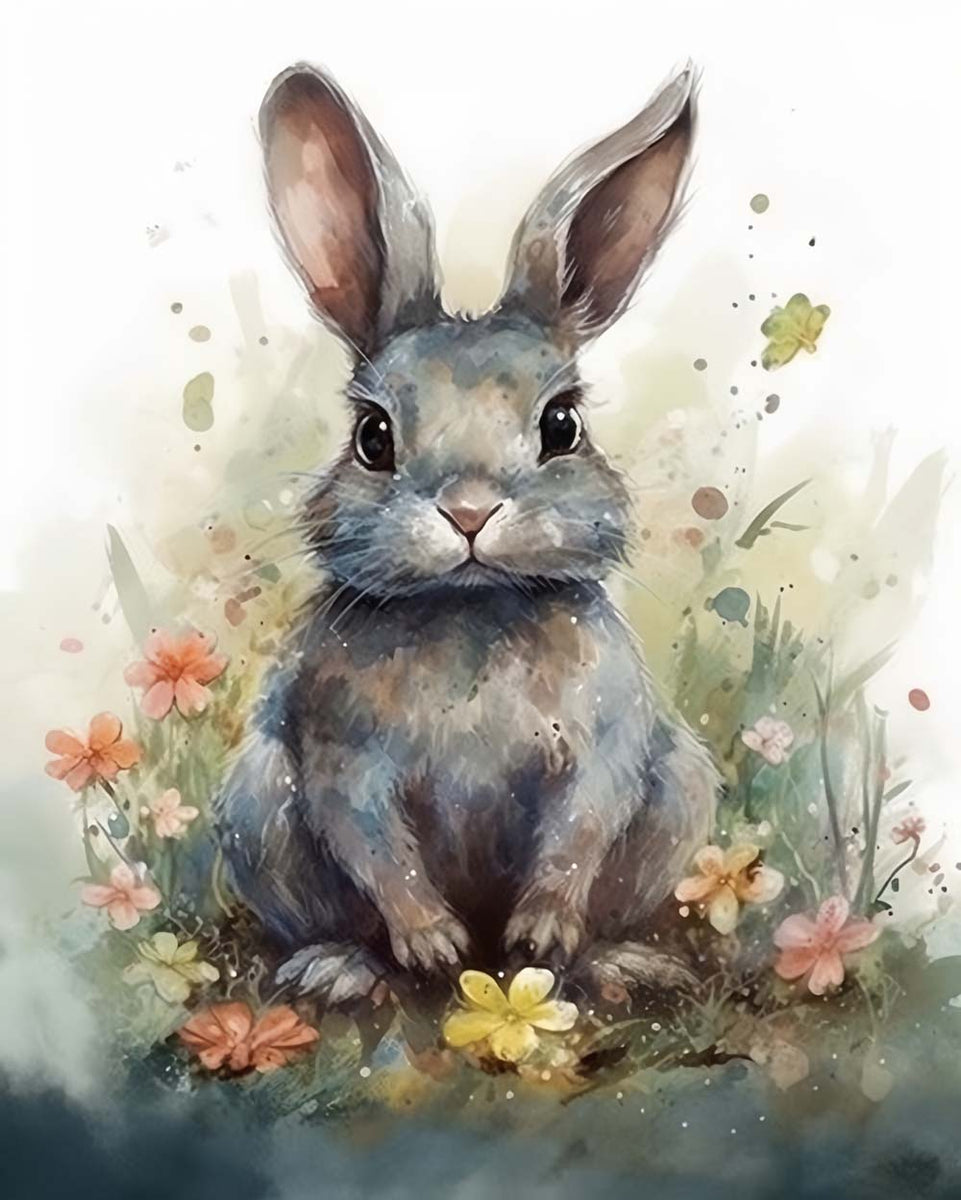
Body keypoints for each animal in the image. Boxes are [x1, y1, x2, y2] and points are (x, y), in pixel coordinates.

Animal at [215, 61, 718, 1006]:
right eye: (372, 436)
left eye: (561, 425)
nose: (471, 512)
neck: (472, 605)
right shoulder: (341, 760)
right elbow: (374, 845)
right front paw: (433, 943)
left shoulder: (604, 751)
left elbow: (580, 830)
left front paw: (540, 931)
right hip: (257, 805)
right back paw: (340, 968)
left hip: (681, 792)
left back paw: (615, 961)